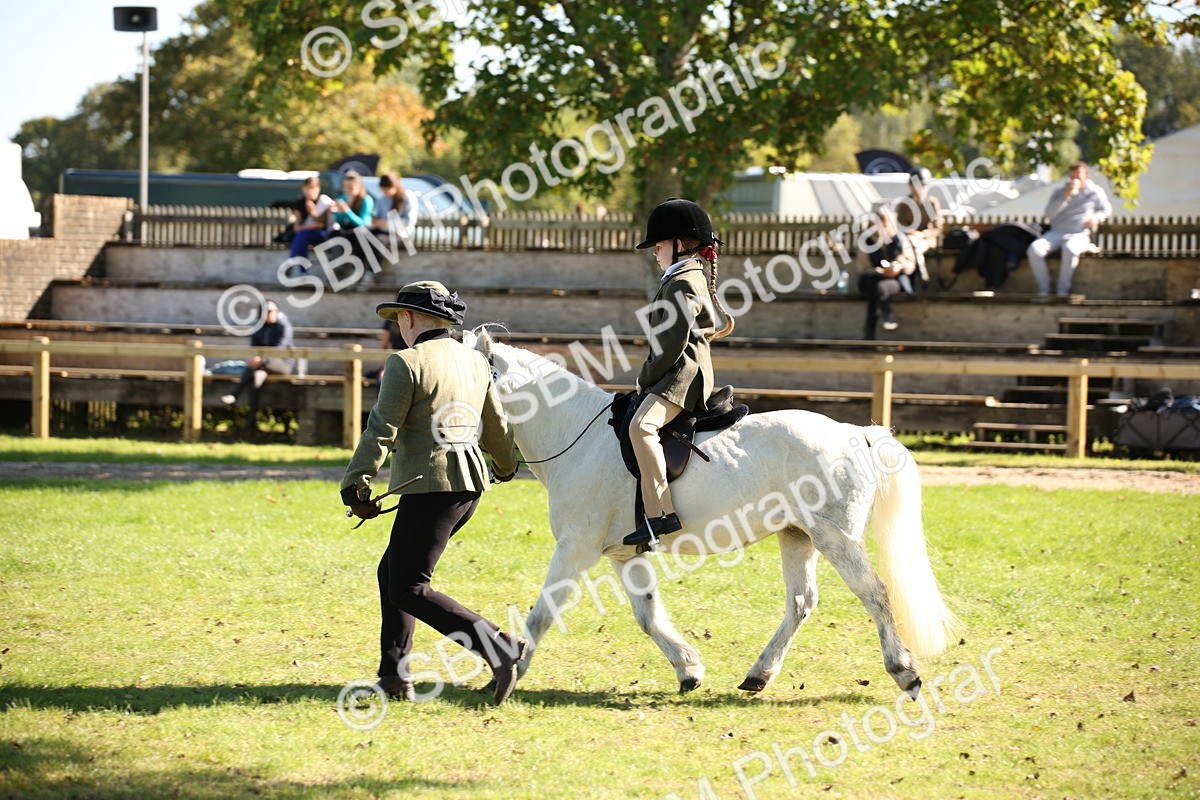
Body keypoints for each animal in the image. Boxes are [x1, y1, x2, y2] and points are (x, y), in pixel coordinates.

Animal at [464, 327, 958, 699]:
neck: (575, 434)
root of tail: (858, 433)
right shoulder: (624, 553)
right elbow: (647, 614)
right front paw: (689, 671)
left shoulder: (575, 549)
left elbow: (541, 614)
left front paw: (507, 677)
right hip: (798, 536)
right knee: (801, 602)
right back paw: (758, 675)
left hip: (836, 538)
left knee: (874, 593)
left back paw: (904, 672)